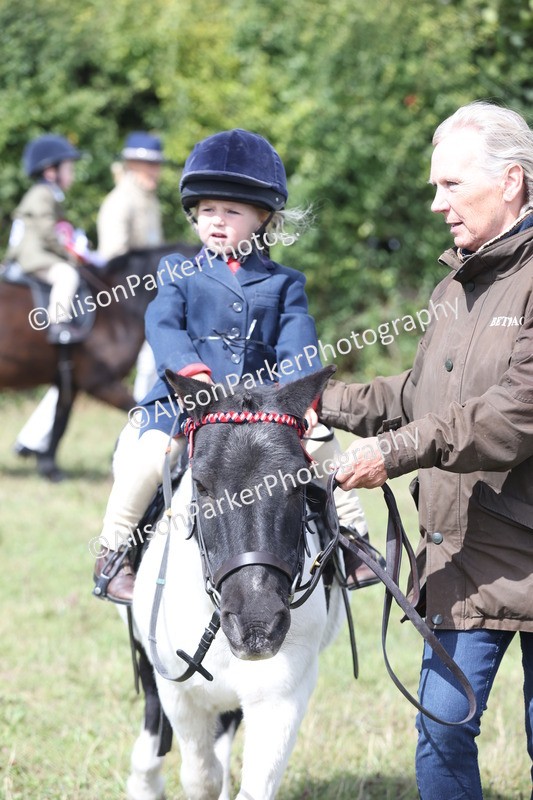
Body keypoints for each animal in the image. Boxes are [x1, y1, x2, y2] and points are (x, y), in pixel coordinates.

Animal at [0, 242, 197, 478]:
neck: (115, 308)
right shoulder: (100, 383)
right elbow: (139, 410)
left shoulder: (70, 382)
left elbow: (60, 421)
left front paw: (49, 467)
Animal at [126, 365, 346, 800]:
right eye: (202, 485)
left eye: (300, 482)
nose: (257, 624)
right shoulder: (177, 692)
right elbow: (201, 777)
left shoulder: (281, 693)